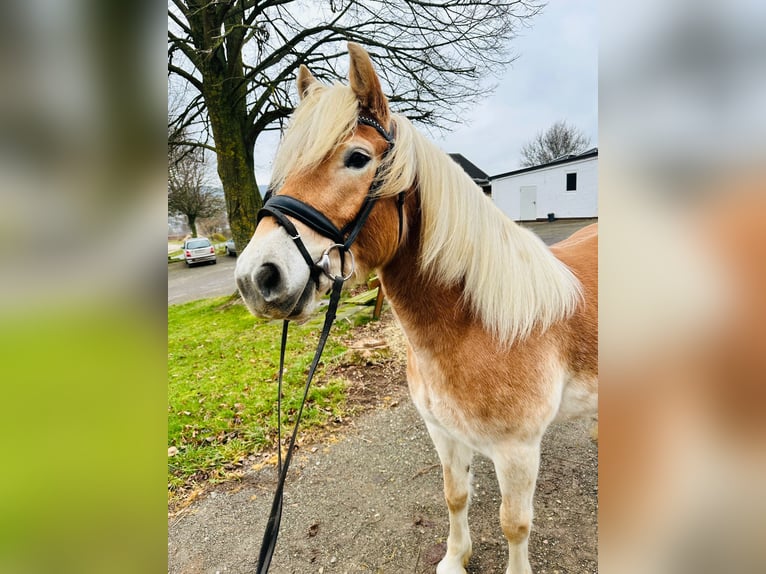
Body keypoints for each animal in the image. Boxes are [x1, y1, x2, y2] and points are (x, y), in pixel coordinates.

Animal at [236, 41, 600, 574]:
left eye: (357, 158)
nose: (256, 278)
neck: (476, 326)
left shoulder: (517, 451)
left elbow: (514, 524)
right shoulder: (444, 433)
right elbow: (454, 496)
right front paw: (453, 559)